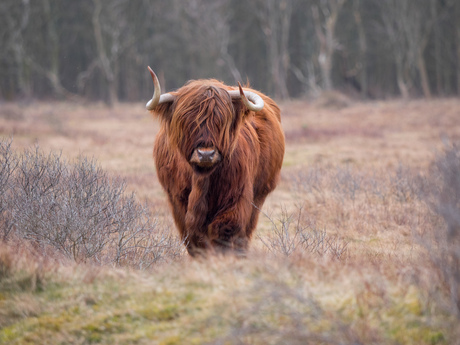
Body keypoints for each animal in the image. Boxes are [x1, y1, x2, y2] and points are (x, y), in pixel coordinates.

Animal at [146, 66, 284, 255]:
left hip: (260, 193)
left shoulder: (237, 197)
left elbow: (225, 231)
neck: (202, 179)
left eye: (221, 121)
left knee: (245, 232)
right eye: (186, 121)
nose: (206, 154)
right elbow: (192, 236)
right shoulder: (177, 200)